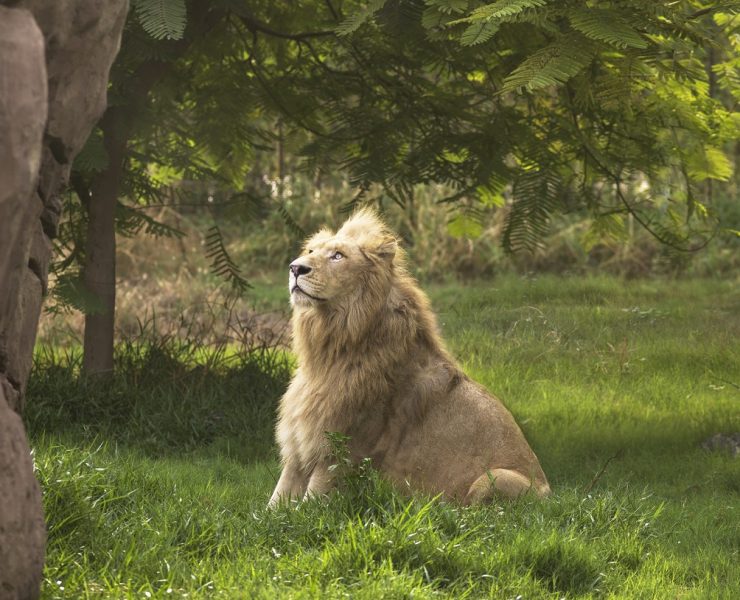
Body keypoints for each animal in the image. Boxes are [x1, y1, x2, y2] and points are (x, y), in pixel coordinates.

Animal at [269, 209, 550, 506]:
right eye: (310, 251)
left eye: (337, 256)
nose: (295, 268)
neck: (329, 350)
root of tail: (549, 491)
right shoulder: (300, 445)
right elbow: (272, 505)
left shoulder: (341, 450)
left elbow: (309, 506)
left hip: (491, 478)